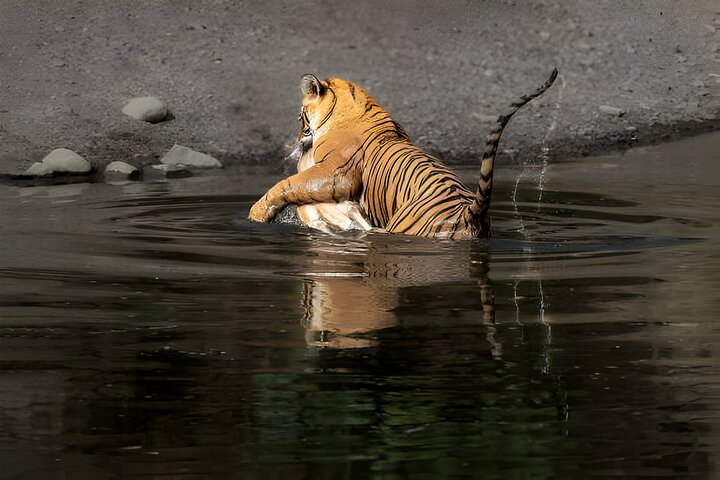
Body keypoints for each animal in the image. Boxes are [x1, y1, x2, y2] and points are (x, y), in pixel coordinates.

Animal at [248, 68, 558, 239]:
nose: (298, 137)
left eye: (300, 116)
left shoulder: (335, 174)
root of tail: (470, 212)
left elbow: (287, 184)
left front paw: (256, 215)